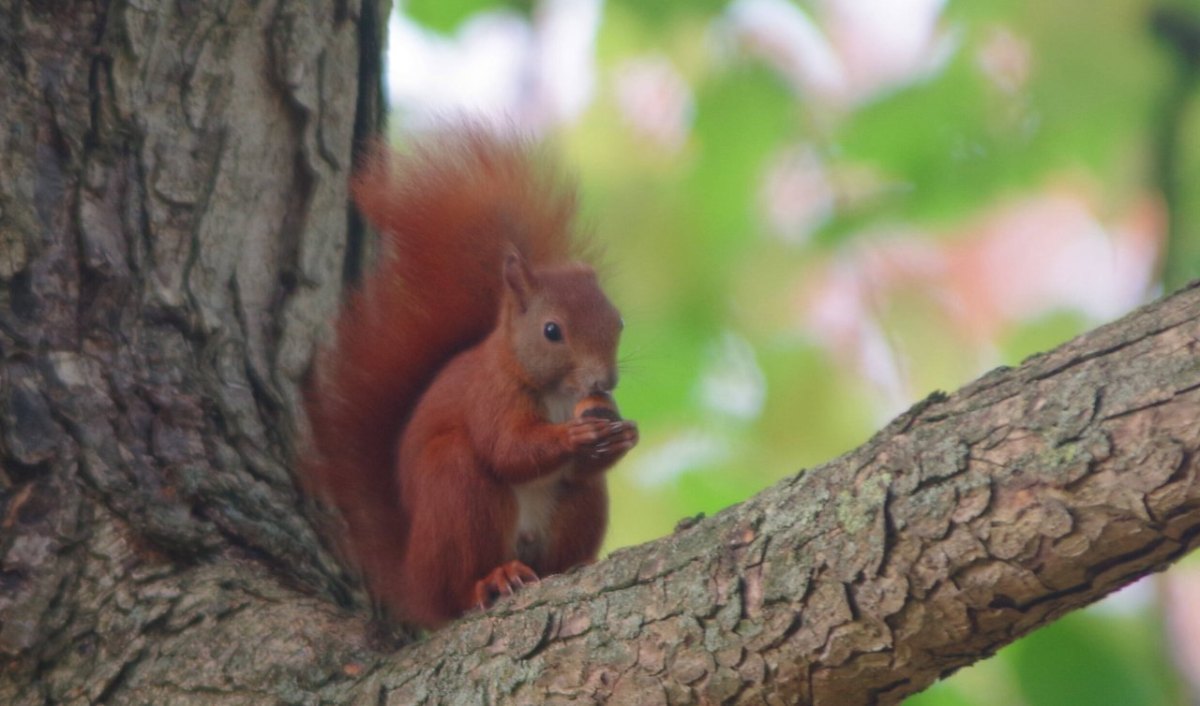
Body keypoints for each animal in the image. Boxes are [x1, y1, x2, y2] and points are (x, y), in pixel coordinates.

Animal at [302, 128, 638, 629]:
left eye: (618, 322)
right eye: (552, 331)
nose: (604, 382)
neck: (557, 395)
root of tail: (414, 582)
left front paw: (625, 435)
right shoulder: (489, 395)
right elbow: (507, 449)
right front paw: (572, 436)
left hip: (579, 506)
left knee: (571, 514)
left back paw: (574, 565)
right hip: (455, 490)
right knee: (458, 587)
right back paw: (491, 580)